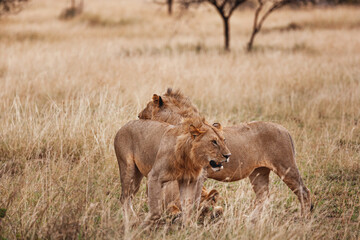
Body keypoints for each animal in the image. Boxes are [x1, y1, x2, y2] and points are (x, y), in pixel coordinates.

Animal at [138, 88, 312, 216]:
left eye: (146, 106)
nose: (138, 115)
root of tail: (285, 130)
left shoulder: (201, 174)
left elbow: (194, 199)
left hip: (286, 167)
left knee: (304, 192)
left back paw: (303, 219)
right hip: (259, 173)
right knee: (263, 198)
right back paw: (251, 221)